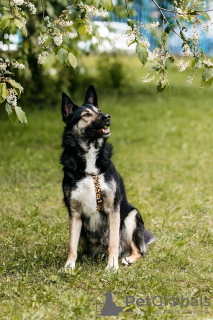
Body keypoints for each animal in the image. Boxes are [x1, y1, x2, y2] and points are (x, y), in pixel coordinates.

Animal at [60, 85, 155, 270]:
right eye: (86, 114)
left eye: (99, 111)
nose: (107, 116)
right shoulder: (74, 213)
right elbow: (71, 245)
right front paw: (69, 266)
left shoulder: (113, 209)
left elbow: (113, 242)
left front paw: (112, 267)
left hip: (131, 218)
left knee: (136, 250)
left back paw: (127, 259)